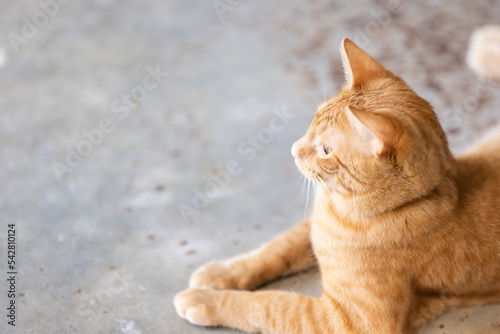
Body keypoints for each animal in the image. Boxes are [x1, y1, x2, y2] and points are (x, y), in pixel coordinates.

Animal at [173, 37, 500, 332]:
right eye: (312, 122)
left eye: (326, 150)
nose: (293, 150)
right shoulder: (310, 228)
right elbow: (273, 250)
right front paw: (219, 273)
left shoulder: (350, 321)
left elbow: (271, 305)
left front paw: (204, 300)